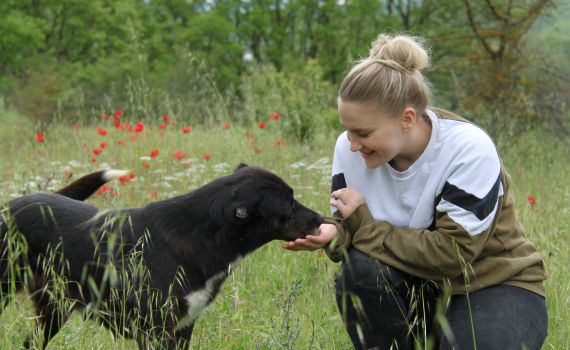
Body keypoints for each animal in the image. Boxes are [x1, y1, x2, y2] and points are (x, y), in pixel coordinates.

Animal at [0, 165, 322, 348]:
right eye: (288, 206)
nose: (321, 219)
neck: (196, 236)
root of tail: (11, 206)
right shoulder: (154, 332)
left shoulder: (182, 330)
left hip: (54, 310)